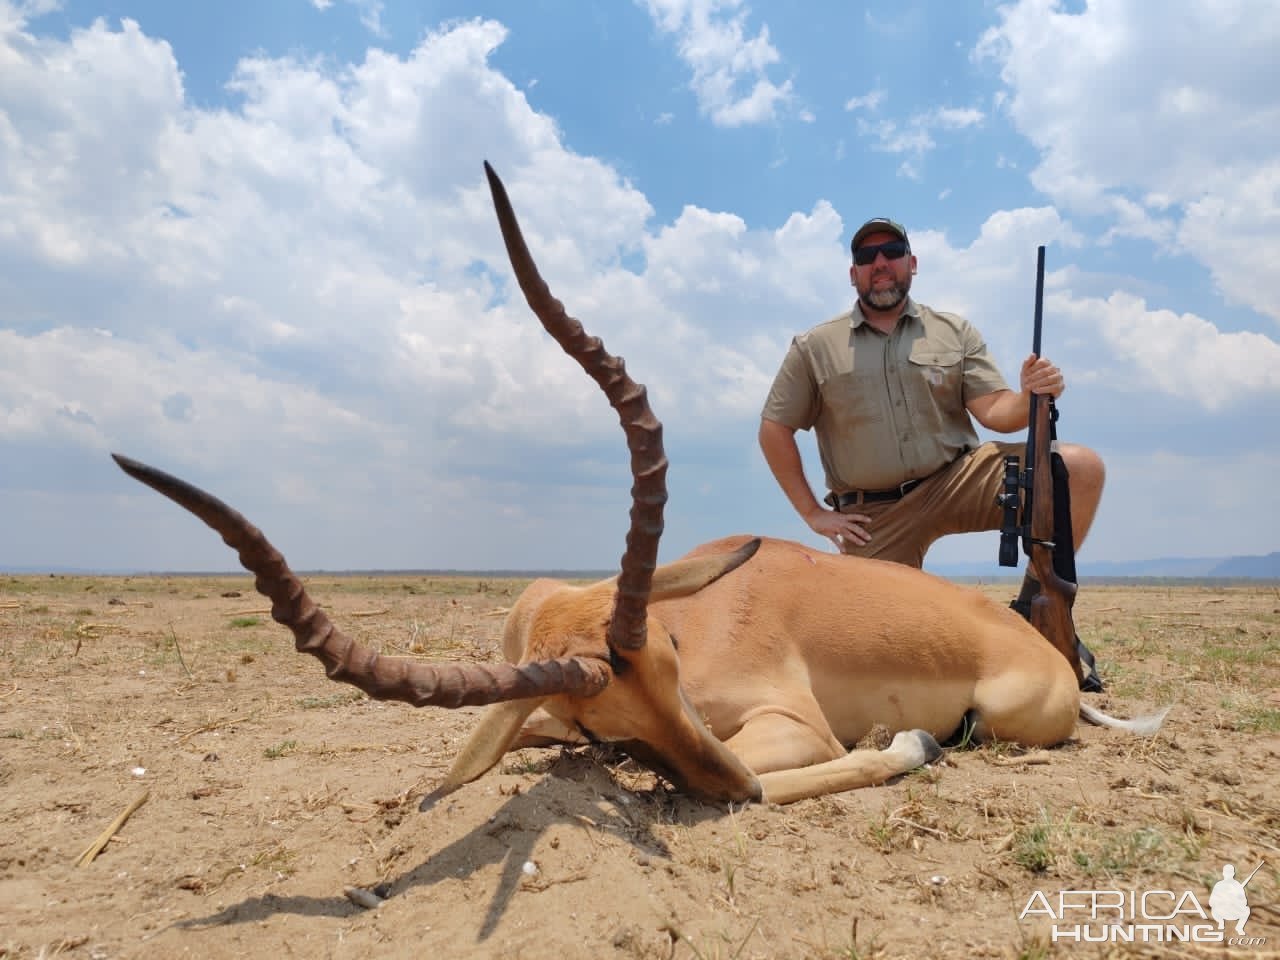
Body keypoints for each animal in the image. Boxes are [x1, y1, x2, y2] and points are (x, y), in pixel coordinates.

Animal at [115, 163, 1167, 814]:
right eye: (603, 715)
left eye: (668, 651)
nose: (721, 787)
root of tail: (1039, 654)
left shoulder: (788, 728)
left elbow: (788, 767)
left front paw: (905, 745)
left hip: (1003, 719)